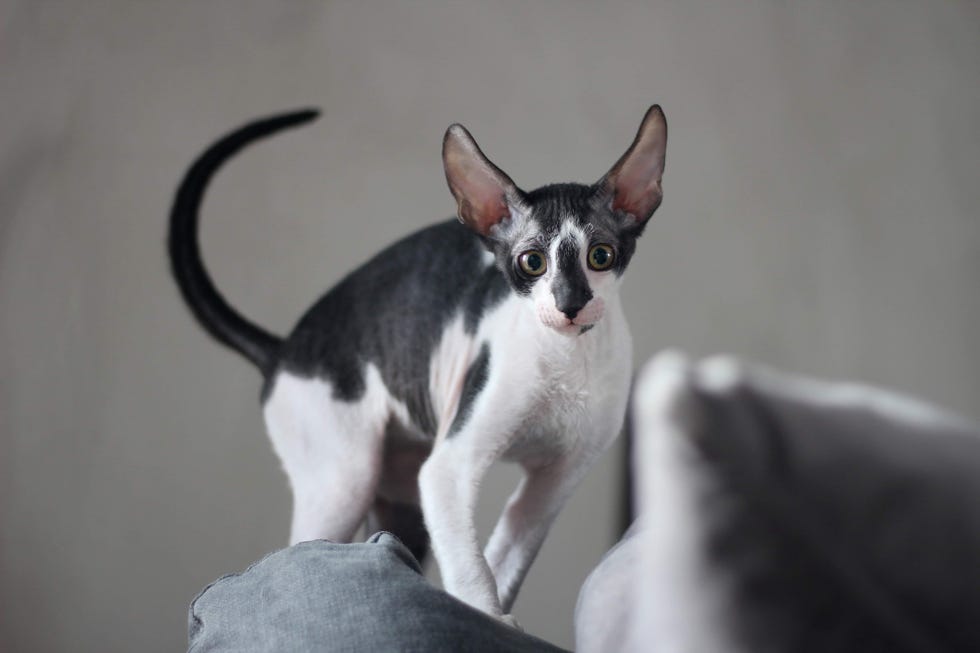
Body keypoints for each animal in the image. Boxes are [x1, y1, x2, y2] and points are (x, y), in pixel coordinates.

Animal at [168, 105, 668, 620]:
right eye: (532, 262)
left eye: (600, 256)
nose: (570, 304)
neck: (567, 358)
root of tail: (284, 350)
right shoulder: (448, 468)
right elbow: (471, 567)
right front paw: (485, 615)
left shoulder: (558, 478)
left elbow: (506, 555)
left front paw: (500, 617)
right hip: (342, 479)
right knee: (299, 551)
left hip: (400, 497)